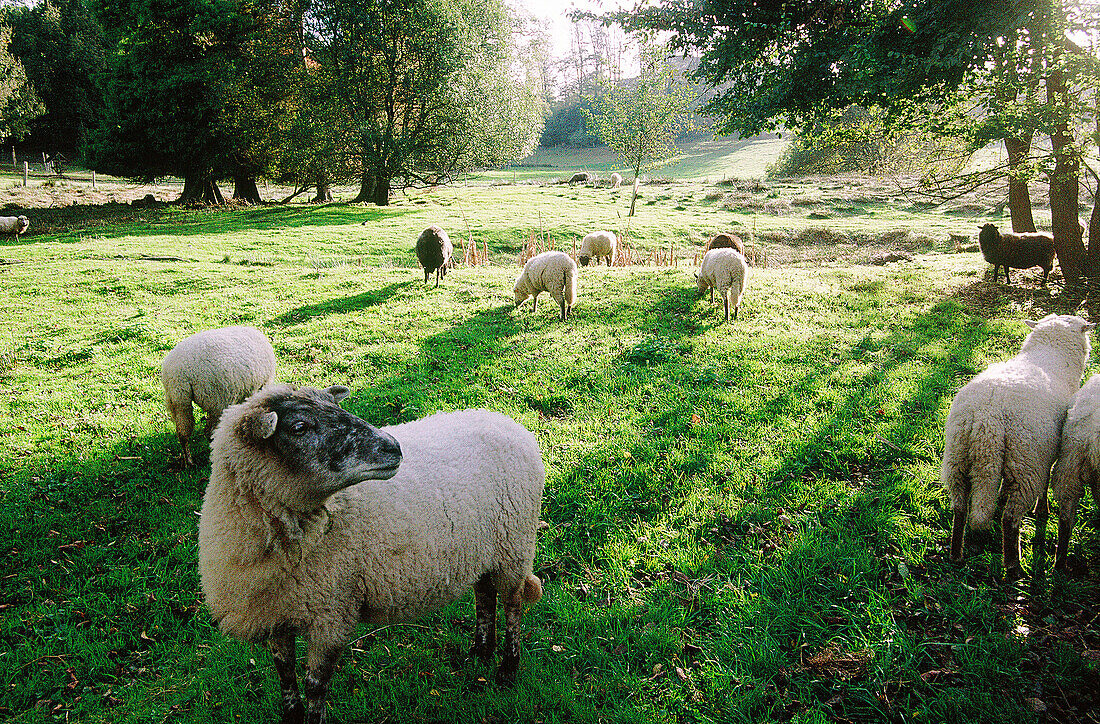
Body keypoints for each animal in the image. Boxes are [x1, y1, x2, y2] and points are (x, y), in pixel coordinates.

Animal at [160, 323, 277, 464]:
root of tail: (179, 374)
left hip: (178, 400)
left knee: (183, 432)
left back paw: (189, 461)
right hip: (216, 399)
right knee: (209, 431)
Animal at [200, 382, 543, 721]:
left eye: (336, 407)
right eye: (299, 427)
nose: (394, 447)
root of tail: (507, 422)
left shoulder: (332, 612)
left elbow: (314, 684)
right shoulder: (275, 612)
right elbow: (284, 671)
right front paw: (291, 714)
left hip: (515, 545)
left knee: (512, 605)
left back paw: (507, 669)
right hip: (483, 550)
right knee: (484, 594)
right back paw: (480, 652)